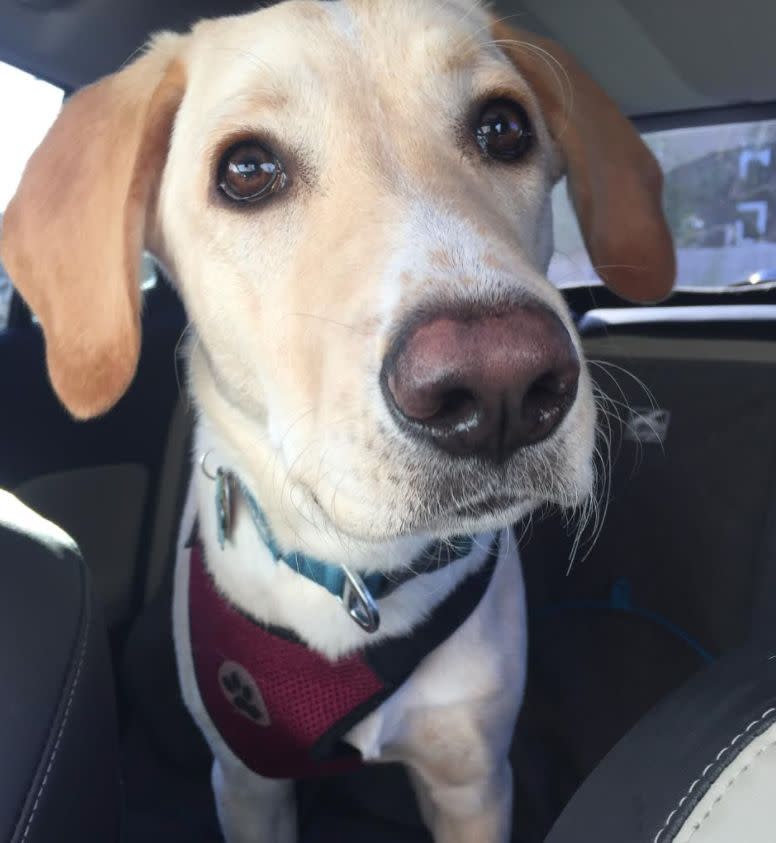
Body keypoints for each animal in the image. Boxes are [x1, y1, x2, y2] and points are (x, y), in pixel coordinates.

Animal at [0, 3, 676, 840]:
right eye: (246, 170)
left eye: (504, 127)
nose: (501, 384)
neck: (356, 577)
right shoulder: (246, 779)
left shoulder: (474, 779)